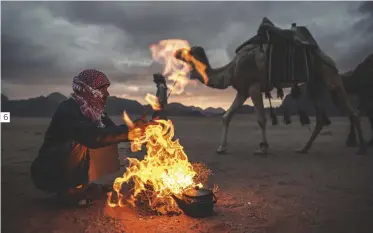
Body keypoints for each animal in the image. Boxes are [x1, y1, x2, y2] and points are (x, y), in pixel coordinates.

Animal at [175, 17, 366, 155]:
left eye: (188, 51)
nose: (176, 52)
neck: (231, 68)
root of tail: (325, 54)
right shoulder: (243, 91)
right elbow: (227, 116)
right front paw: (221, 148)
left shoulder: (253, 87)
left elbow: (261, 119)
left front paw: (262, 148)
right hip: (315, 83)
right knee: (320, 117)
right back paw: (303, 149)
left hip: (329, 75)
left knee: (352, 112)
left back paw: (361, 149)